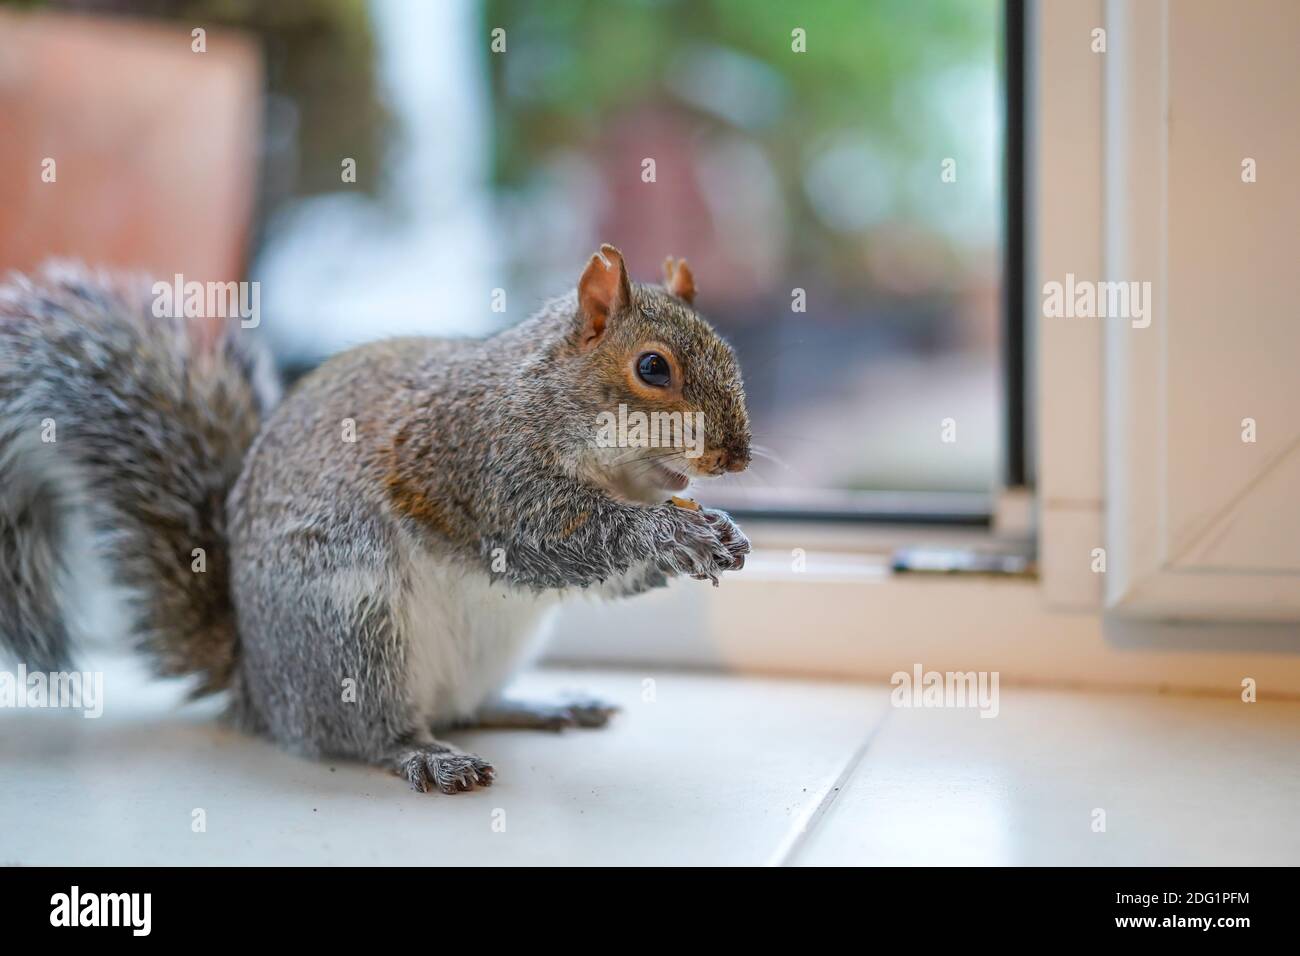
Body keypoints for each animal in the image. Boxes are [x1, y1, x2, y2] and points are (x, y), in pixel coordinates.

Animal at [0, 244, 754, 790]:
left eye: (728, 350)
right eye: (652, 368)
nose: (736, 456)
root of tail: (260, 690)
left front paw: (722, 533)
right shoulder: (480, 466)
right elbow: (556, 536)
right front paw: (673, 532)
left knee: (468, 707)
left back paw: (541, 705)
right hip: (352, 626)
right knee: (366, 733)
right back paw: (426, 756)